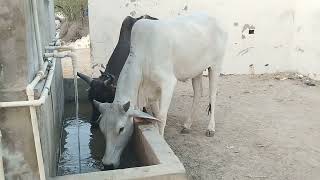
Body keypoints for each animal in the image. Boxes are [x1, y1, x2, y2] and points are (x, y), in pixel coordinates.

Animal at [94, 13, 226, 169]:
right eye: (102, 129)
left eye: (121, 128)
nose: (107, 164)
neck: (143, 57)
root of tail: (214, 19)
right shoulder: (151, 92)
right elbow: (155, 114)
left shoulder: (168, 83)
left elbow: (162, 117)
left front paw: (162, 138)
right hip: (196, 70)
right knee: (198, 93)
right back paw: (187, 125)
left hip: (216, 65)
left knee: (213, 95)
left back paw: (210, 128)